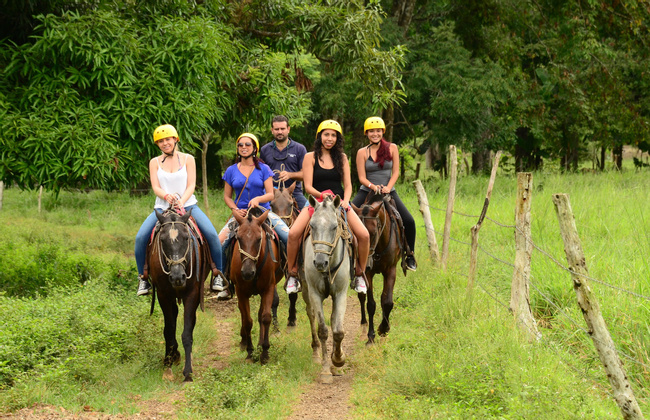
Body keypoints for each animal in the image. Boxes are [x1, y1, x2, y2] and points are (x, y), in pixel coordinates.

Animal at [146, 208, 209, 382]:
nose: (177, 277)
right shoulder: (163, 295)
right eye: (162, 240)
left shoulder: (192, 294)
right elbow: (169, 330)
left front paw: (188, 372)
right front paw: (168, 363)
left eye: (186, 238)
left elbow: (187, 333)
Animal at [229, 208, 280, 362]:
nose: (247, 272)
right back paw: (244, 342)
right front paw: (250, 352)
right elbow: (247, 321)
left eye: (259, 239)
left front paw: (264, 351)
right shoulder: (241, 292)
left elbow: (265, 317)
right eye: (239, 238)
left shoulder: (268, 288)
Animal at [302, 195, 352, 382]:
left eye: (334, 227)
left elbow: (338, 331)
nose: (319, 262)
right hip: (306, 291)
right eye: (312, 226)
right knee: (311, 316)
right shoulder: (315, 294)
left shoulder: (340, 294)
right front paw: (325, 370)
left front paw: (338, 360)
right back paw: (316, 353)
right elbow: (323, 330)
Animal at [352, 192, 402, 342]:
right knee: (361, 297)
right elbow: (370, 304)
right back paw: (363, 324)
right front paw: (370, 336)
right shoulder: (367, 274)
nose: (366, 264)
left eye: (373, 234)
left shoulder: (391, 270)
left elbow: (387, 301)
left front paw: (384, 329)